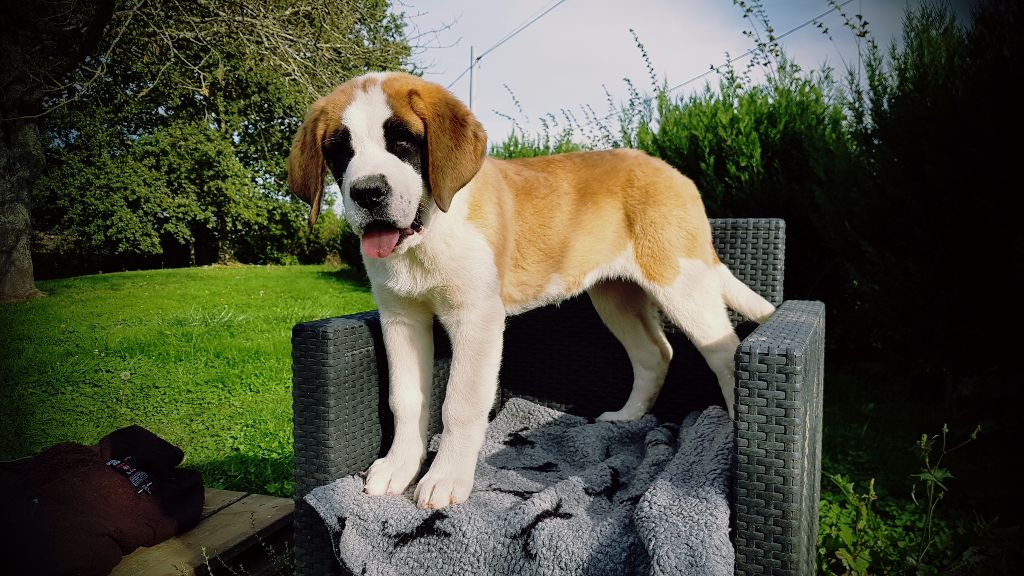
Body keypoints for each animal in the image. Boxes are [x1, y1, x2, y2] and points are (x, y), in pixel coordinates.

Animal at [288, 71, 775, 510]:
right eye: (340, 151)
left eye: (403, 141)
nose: (368, 192)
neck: (429, 233)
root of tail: (674, 173)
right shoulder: (401, 318)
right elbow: (405, 397)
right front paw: (399, 467)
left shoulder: (477, 318)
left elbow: (461, 403)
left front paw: (445, 479)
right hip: (614, 296)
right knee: (655, 353)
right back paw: (627, 418)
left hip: (681, 280)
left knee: (724, 351)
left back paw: (734, 429)